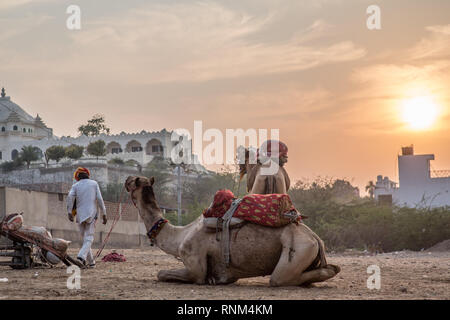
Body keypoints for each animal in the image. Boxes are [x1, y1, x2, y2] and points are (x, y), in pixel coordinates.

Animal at [125, 176, 340, 286]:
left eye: (134, 181)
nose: (126, 179)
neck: (179, 235)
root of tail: (316, 238)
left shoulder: (194, 263)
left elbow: (162, 273)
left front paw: (210, 279)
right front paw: (215, 279)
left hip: (299, 248)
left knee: (279, 279)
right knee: (328, 269)